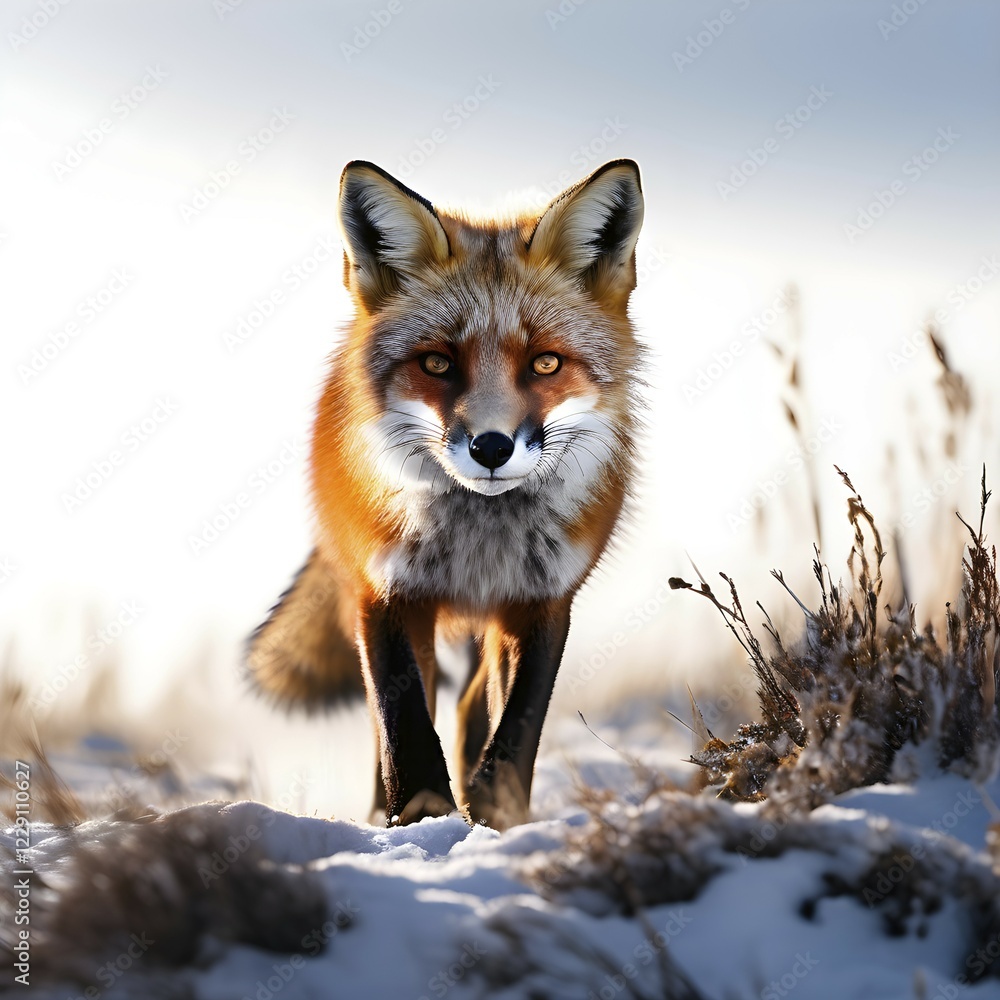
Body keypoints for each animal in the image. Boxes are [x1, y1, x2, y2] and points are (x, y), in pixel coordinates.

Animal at [247, 157, 645, 830]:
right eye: (436, 364)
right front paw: (418, 816)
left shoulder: (542, 600)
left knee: (467, 707)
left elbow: (518, 725)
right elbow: (403, 726)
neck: (477, 542)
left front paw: (496, 815)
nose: (491, 446)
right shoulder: (385, 591)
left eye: (545, 364)